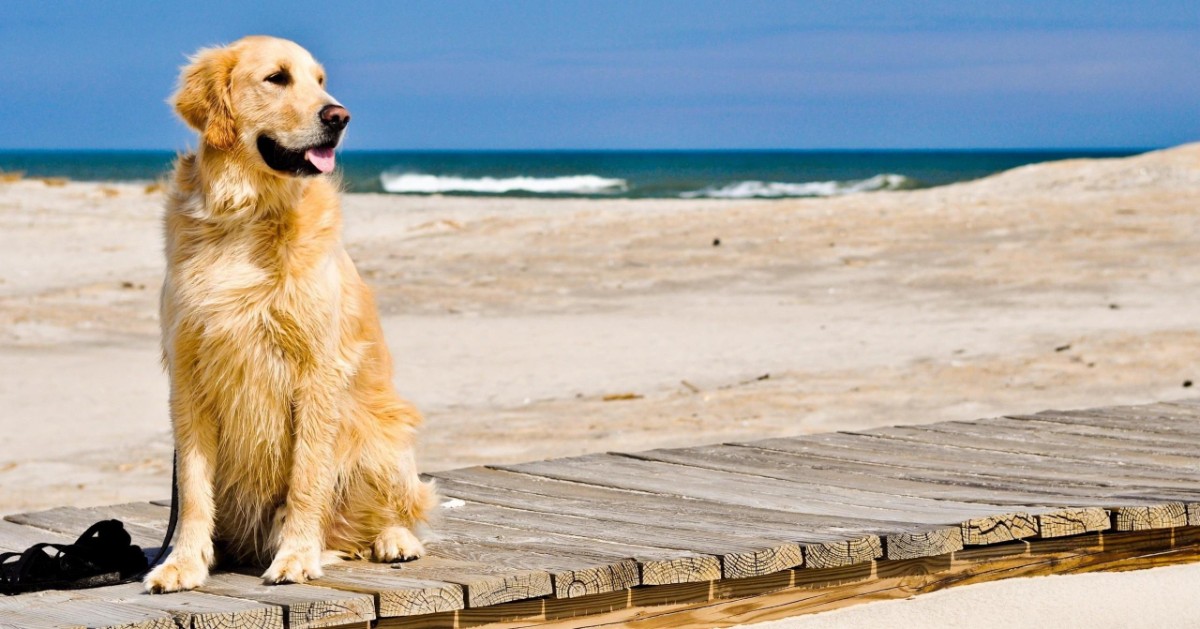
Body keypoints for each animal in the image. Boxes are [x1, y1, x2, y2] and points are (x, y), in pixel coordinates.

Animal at [145, 36, 436, 592]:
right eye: (277, 78)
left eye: (320, 81)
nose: (339, 116)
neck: (245, 214)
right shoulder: (188, 376)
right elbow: (192, 488)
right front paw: (183, 561)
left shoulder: (317, 372)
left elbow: (306, 477)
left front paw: (297, 556)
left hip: (382, 435)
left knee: (392, 511)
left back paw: (394, 540)